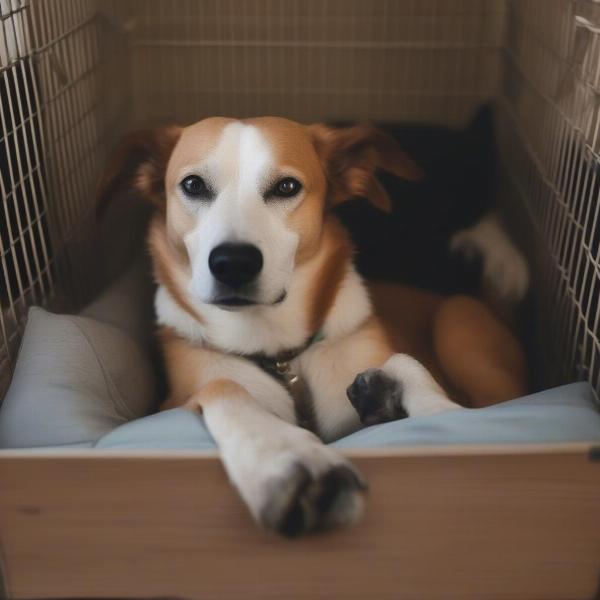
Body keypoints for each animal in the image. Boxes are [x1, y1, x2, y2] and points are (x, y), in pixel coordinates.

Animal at [96, 116, 528, 536]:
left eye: (287, 186)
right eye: (193, 185)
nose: (233, 263)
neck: (280, 354)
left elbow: (413, 371)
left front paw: (428, 408)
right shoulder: (180, 397)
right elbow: (223, 386)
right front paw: (285, 459)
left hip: (457, 318)